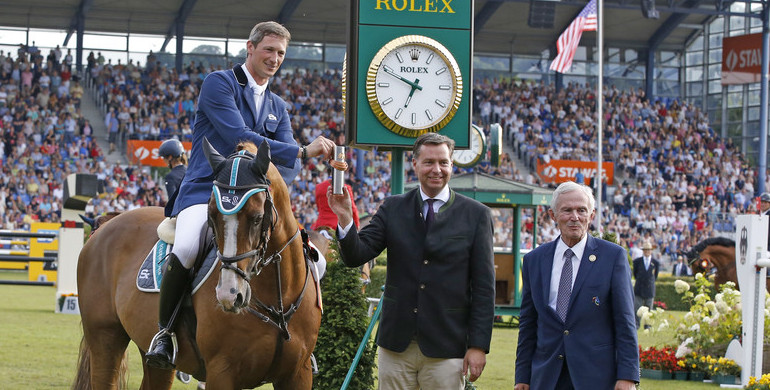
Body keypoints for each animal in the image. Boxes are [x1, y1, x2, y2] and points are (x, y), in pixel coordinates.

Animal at [73, 141, 320, 390]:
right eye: (212, 215)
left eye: (258, 217)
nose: (229, 295)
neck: (278, 300)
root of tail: (102, 229)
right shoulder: (222, 372)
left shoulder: (298, 374)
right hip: (105, 339)